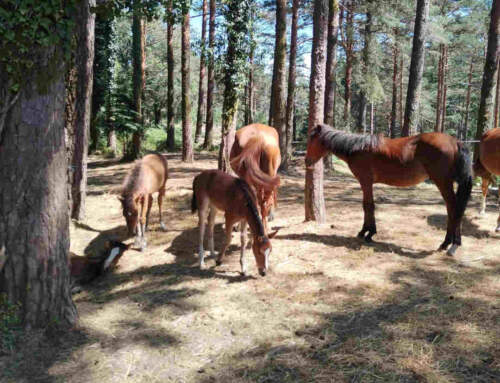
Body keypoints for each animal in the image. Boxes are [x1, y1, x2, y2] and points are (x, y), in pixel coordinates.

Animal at [304, 123, 472, 256]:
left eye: (312, 139)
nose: (307, 161)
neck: (358, 148)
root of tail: (455, 141)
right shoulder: (368, 183)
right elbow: (368, 206)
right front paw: (367, 232)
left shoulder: (365, 182)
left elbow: (368, 206)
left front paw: (367, 233)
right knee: (452, 208)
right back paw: (448, 243)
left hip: (442, 182)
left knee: (454, 207)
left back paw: (451, 244)